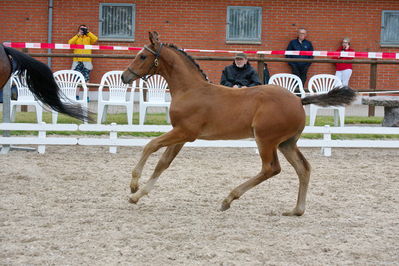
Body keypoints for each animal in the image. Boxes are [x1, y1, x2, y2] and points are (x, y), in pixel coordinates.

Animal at [122, 31, 356, 216]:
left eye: (142, 56)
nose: (125, 76)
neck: (190, 90)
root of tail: (299, 100)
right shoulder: (181, 135)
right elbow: (163, 163)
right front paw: (137, 196)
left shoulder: (185, 132)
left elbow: (150, 145)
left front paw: (133, 186)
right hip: (286, 143)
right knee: (303, 168)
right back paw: (296, 210)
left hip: (266, 140)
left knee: (271, 168)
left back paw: (228, 199)